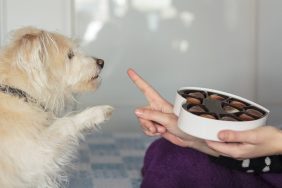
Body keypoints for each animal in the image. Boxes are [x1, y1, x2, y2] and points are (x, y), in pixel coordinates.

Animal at [0, 26, 113, 188]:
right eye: (70, 55)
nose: (101, 62)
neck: (20, 94)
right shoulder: (34, 154)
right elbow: (65, 123)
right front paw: (98, 112)